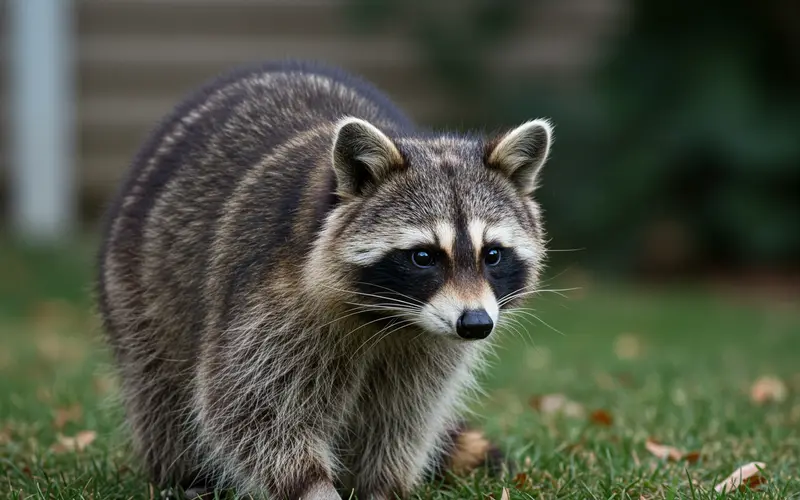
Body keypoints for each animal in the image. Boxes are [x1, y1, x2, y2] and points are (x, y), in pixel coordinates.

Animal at [97, 60, 553, 499]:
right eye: (423, 257)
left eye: (492, 254)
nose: (475, 324)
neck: (390, 319)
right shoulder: (271, 300)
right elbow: (252, 407)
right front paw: (311, 485)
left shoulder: (428, 346)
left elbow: (402, 415)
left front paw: (381, 486)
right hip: (139, 288)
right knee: (160, 390)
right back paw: (184, 474)